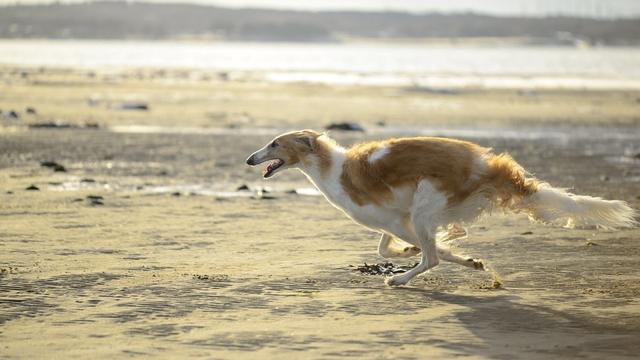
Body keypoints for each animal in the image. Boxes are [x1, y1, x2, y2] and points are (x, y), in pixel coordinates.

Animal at [245, 130, 636, 286]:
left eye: (274, 143)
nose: (249, 158)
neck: (330, 167)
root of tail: (488, 165)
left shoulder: (400, 220)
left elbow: (424, 250)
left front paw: (419, 256)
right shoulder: (396, 220)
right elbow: (393, 247)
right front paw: (472, 261)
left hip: (425, 205)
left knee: (431, 258)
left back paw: (399, 279)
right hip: (427, 209)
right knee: (441, 244)